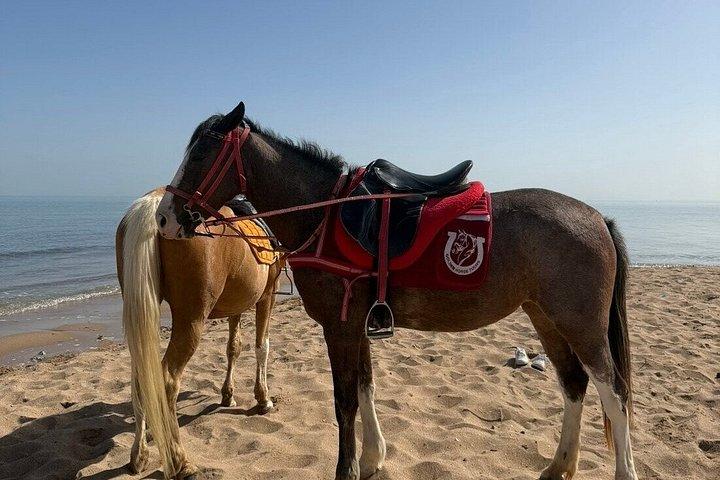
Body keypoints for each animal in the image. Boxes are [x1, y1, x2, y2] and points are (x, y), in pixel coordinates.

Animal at [116, 187, 283, 479]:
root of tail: (153, 202)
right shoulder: (267, 296)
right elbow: (261, 346)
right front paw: (263, 398)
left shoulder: (236, 304)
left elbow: (233, 347)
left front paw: (228, 394)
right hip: (191, 319)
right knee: (167, 381)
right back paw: (180, 461)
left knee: (141, 377)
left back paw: (139, 455)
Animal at [155, 102, 637, 480]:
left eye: (202, 153)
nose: (164, 218)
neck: (326, 215)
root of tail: (598, 218)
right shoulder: (357, 325)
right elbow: (366, 389)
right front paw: (372, 459)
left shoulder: (340, 327)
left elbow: (345, 401)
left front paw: (347, 469)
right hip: (547, 318)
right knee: (574, 384)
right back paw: (559, 465)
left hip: (582, 327)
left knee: (614, 394)